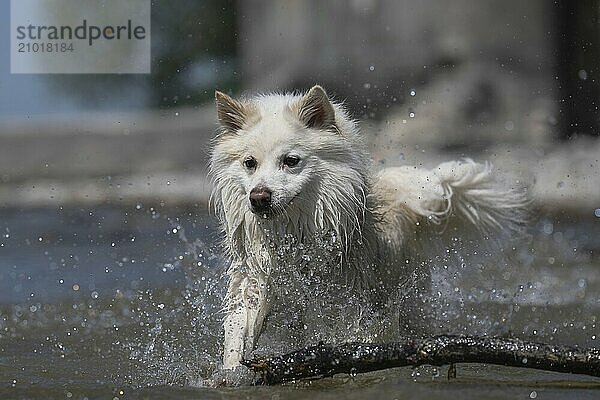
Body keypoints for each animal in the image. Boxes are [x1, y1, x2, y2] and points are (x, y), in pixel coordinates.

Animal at [209, 86, 528, 370]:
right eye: (249, 163)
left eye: (291, 161)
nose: (258, 197)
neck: (295, 236)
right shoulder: (253, 275)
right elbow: (238, 327)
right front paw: (232, 371)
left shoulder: (348, 297)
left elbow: (349, 335)